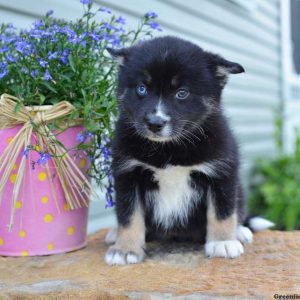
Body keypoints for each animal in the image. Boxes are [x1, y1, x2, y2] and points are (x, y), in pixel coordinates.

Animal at [104, 35, 274, 264]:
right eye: (141, 88)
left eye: (182, 93)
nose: (155, 123)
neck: (168, 149)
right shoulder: (128, 174)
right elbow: (129, 215)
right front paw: (125, 249)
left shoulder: (221, 172)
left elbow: (222, 211)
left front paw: (222, 242)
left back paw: (239, 232)